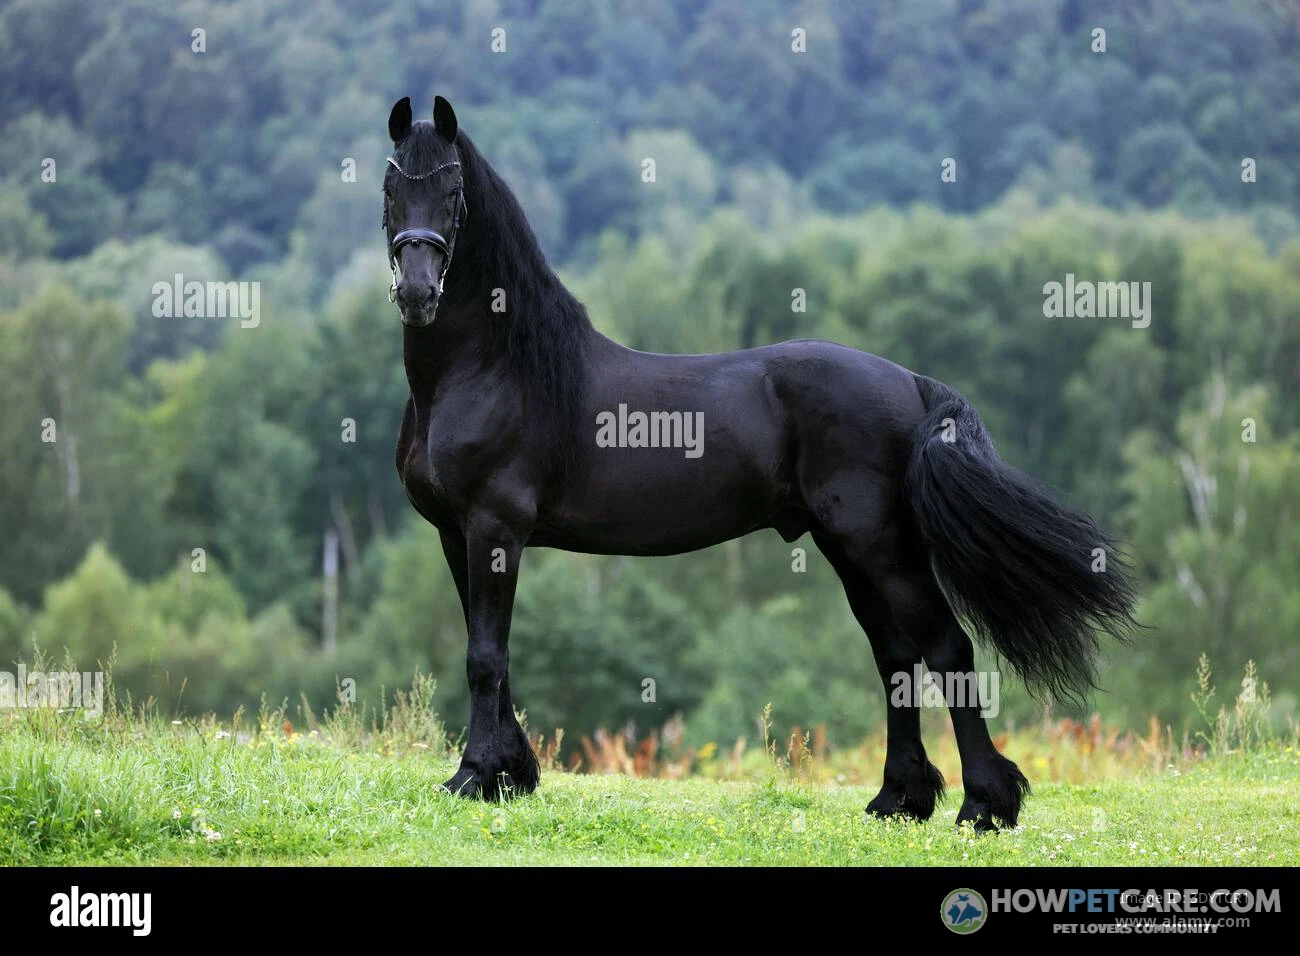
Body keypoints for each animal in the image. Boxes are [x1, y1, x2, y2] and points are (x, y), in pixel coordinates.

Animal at [383, 95, 1138, 829]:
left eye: (453, 190)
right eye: (391, 185)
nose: (418, 292)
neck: (496, 369)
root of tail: (911, 382)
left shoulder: (495, 528)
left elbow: (484, 658)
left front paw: (474, 777)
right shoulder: (458, 535)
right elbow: (494, 654)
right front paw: (510, 775)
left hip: (882, 544)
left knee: (947, 648)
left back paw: (984, 805)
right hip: (846, 547)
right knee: (895, 657)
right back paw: (899, 799)